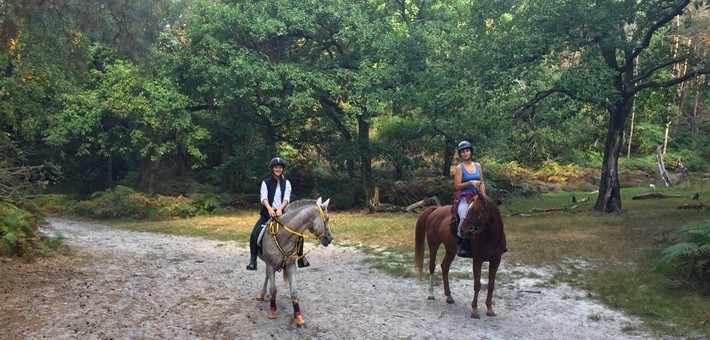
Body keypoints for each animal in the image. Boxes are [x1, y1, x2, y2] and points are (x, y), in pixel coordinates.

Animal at [256, 197, 334, 326]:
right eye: (327, 218)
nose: (330, 238)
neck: (283, 236)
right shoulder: (271, 265)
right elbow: (273, 290)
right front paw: (272, 312)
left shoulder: (291, 266)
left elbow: (294, 292)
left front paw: (298, 317)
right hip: (268, 264)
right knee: (267, 276)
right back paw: (261, 294)